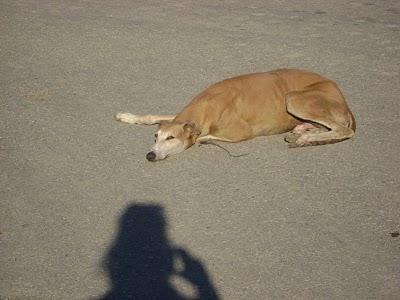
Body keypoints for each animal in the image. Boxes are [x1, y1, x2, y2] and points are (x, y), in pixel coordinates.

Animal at [115, 69, 356, 161]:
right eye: (156, 137)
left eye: (171, 138)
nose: (150, 155)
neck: (209, 103)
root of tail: (343, 100)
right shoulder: (181, 118)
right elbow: (154, 116)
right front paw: (129, 116)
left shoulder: (241, 132)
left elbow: (204, 137)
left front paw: (201, 139)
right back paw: (302, 132)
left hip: (295, 98)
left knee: (343, 130)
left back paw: (305, 138)